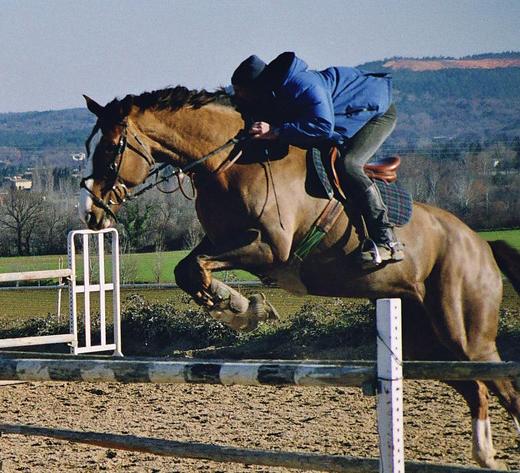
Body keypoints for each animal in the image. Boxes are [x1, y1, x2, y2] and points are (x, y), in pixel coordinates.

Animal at [79, 85, 516, 468]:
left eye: (110, 148)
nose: (93, 214)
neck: (231, 164)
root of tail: (481, 243)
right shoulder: (220, 241)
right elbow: (187, 268)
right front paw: (237, 306)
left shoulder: (270, 249)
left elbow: (195, 267)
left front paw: (240, 308)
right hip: (425, 336)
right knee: (476, 389)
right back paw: (485, 455)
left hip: (465, 334)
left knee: (503, 388)